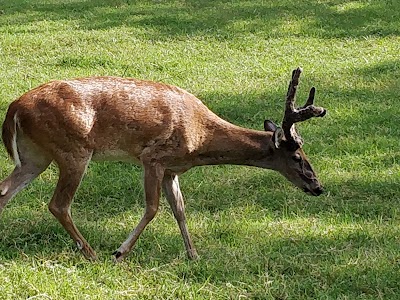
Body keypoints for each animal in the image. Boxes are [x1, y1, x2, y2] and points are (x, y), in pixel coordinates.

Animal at [0, 67, 324, 260]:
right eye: (297, 157)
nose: (318, 187)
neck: (200, 138)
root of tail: (14, 108)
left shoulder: (172, 169)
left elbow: (179, 210)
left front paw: (193, 255)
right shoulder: (152, 158)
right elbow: (153, 208)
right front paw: (120, 252)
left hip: (34, 157)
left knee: (4, 191)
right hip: (73, 149)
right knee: (58, 204)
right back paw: (91, 253)